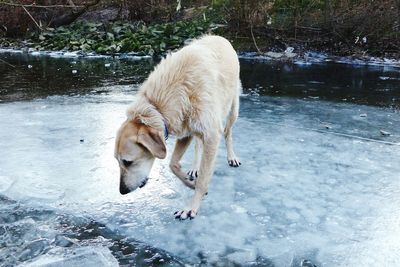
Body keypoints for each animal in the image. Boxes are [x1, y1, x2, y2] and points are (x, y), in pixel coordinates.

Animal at [114, 35, 242, 220]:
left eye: (127, 162)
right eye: (117, 161)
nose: (122, 191)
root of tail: (218, 36)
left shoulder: (212, 134)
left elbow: (203, 179)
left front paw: (191, 207)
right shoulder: (185, 131)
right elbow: (173, 165)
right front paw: (189, 183)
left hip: (233, 109)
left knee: (228, 132)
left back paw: (231, 157)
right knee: (198, 144)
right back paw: (195, 167)